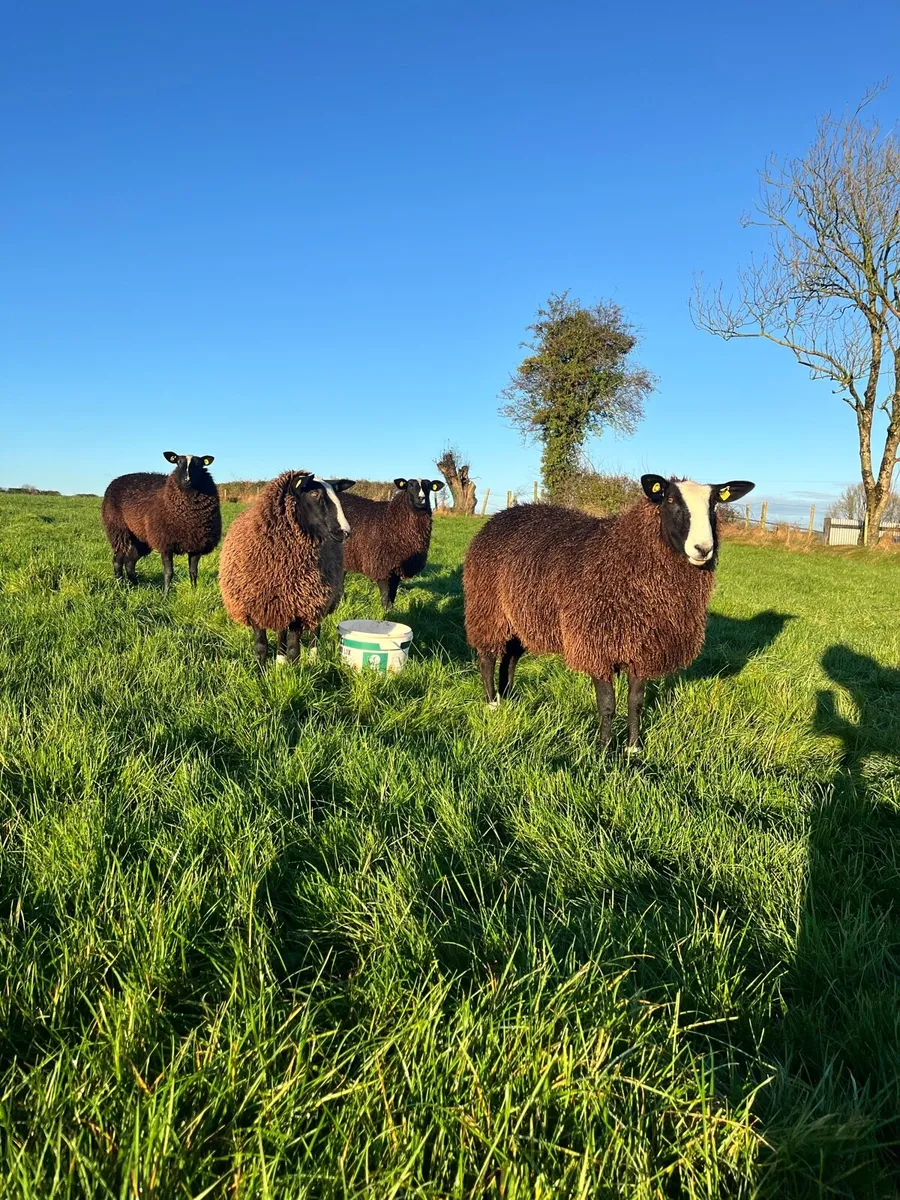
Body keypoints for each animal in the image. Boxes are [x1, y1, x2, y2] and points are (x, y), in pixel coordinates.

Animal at [101, 452, 221, 592]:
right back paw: (120, 585)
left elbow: (193, 572)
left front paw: (194, 591)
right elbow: (169, 572)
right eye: (178, 462)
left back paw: (136, 586)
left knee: (130, 561)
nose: (187, 480)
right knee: (118, 560)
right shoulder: (165, 543)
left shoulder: (197, 545)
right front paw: (166, 594)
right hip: (118, 530)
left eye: (199, 464)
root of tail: (115, 480)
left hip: (141, 538)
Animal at [218, 470, 355, 670]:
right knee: (281, 632)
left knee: (314, 631)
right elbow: (261, 646)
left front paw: (294, 673)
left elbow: (294, 649)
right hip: (282, 603)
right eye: (314, 493)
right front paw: (261, 672)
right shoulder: (256, 606)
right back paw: (280, 661)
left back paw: (312, 660)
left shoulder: (301, 606)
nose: (345, 532)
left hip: (318, 600)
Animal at [340, 477, 446, 610]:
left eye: (429, 486)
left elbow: (393, 593)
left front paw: (392, 610)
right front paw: (386, 612)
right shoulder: (381, 564)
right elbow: (385, 594)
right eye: (410, 485)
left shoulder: (397, 567)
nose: (422, 498)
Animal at [462, 474, 755, 751]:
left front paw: (633, 748)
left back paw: (507, 696)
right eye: (670, 499)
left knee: (510, 656)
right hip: (487, 607)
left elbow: (635, 702)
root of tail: (503, 514)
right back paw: (492, 703)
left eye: (714, 504)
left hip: (520, 616)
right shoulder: (597, 646)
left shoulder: (642, 649)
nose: (703, 549)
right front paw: (604, 749)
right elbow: (607, 704)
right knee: (487, 656)